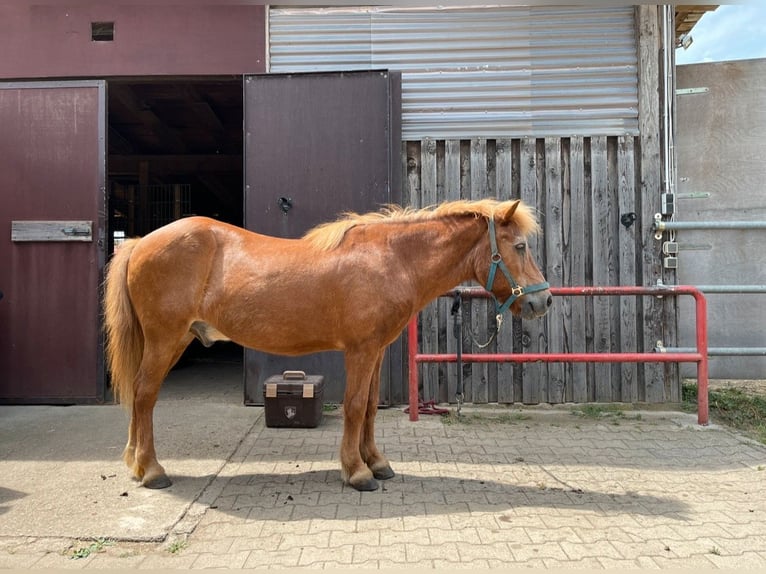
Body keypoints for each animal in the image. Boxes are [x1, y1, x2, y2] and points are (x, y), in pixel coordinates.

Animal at [106, 200, 552, 492]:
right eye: (520, 246)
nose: (543, 301)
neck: (392, 259)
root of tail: (140, 242)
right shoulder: (360, 350)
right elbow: (354, 407)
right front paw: (356, 472)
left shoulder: (376, 350)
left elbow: (369, 408)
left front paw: (377, 463)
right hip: (167, 339)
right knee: (144, 395)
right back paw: (152, 470)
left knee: (139, 397)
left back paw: (136, 464)